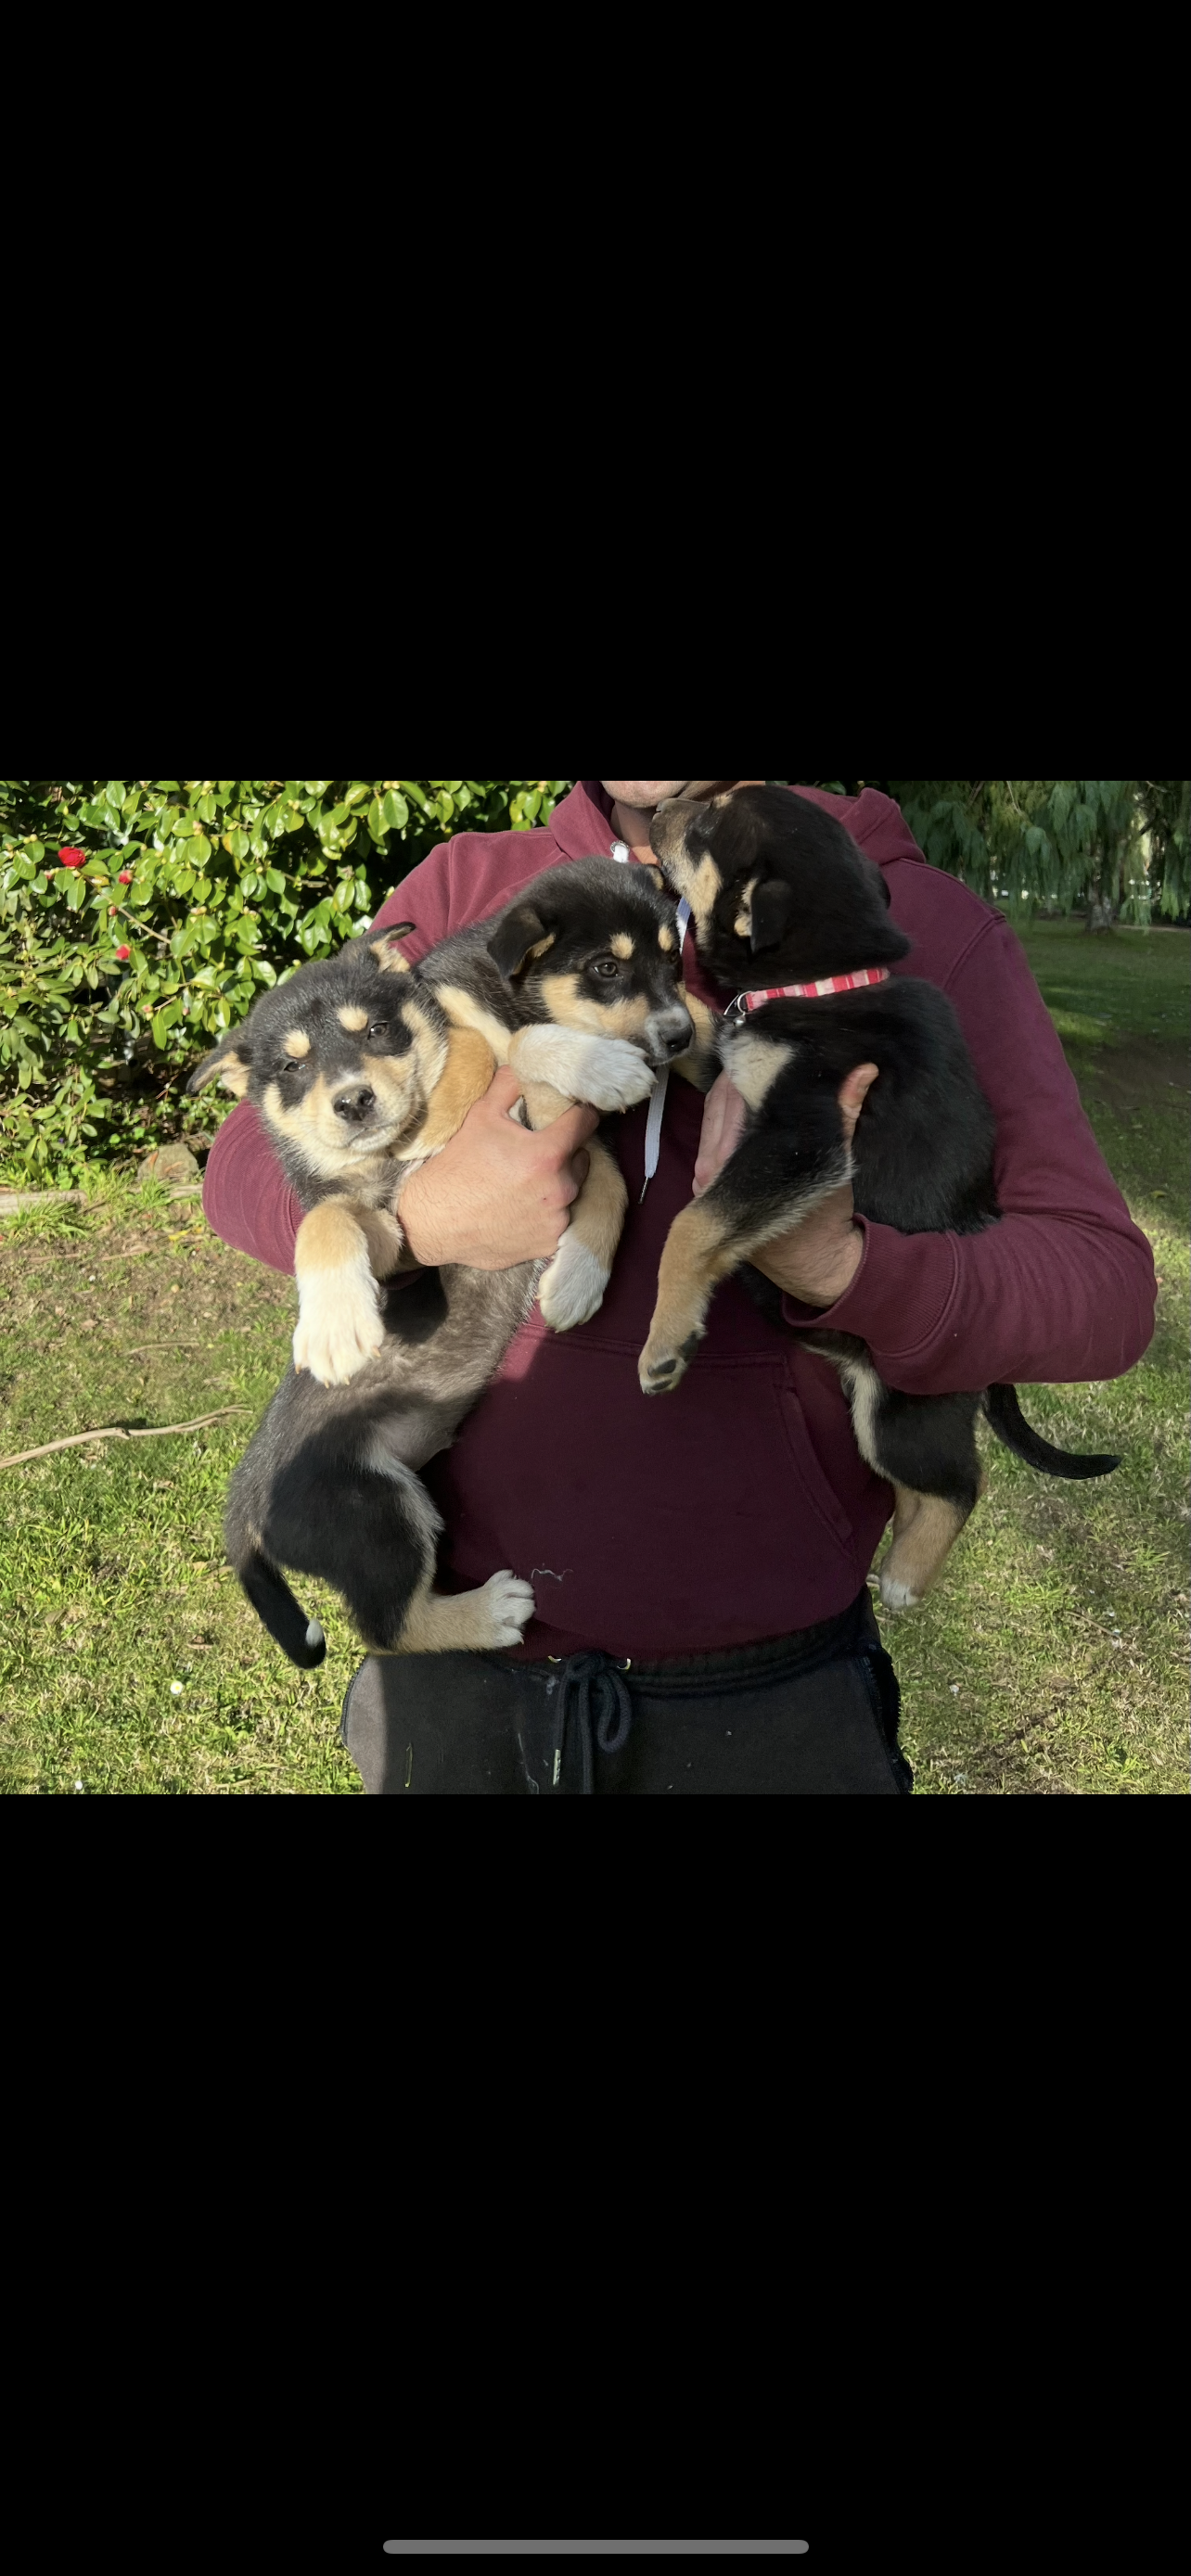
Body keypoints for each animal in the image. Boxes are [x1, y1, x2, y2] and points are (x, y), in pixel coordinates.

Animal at [187, 857, 710, 1666]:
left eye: (377, 1030)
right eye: (605, 968)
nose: (356, 1102)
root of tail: (243, 1506)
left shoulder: (572, 1142)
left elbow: (614, 1184)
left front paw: (577, 1279)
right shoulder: (392, 1221)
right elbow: (330, 1217)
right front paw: (334, 1327)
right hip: (374, 1514)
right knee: (389, 1628)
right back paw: (490, 1612)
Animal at [644, 785, 1120, 1610]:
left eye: (704, 826)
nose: (659, 811)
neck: (823, 981)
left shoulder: (802, 1137)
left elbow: (695, 1223)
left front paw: (665, 1342)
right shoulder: (731, 1069)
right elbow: (701, 1021)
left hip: (901, 1415)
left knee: (960, 1485)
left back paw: (903, 1577)